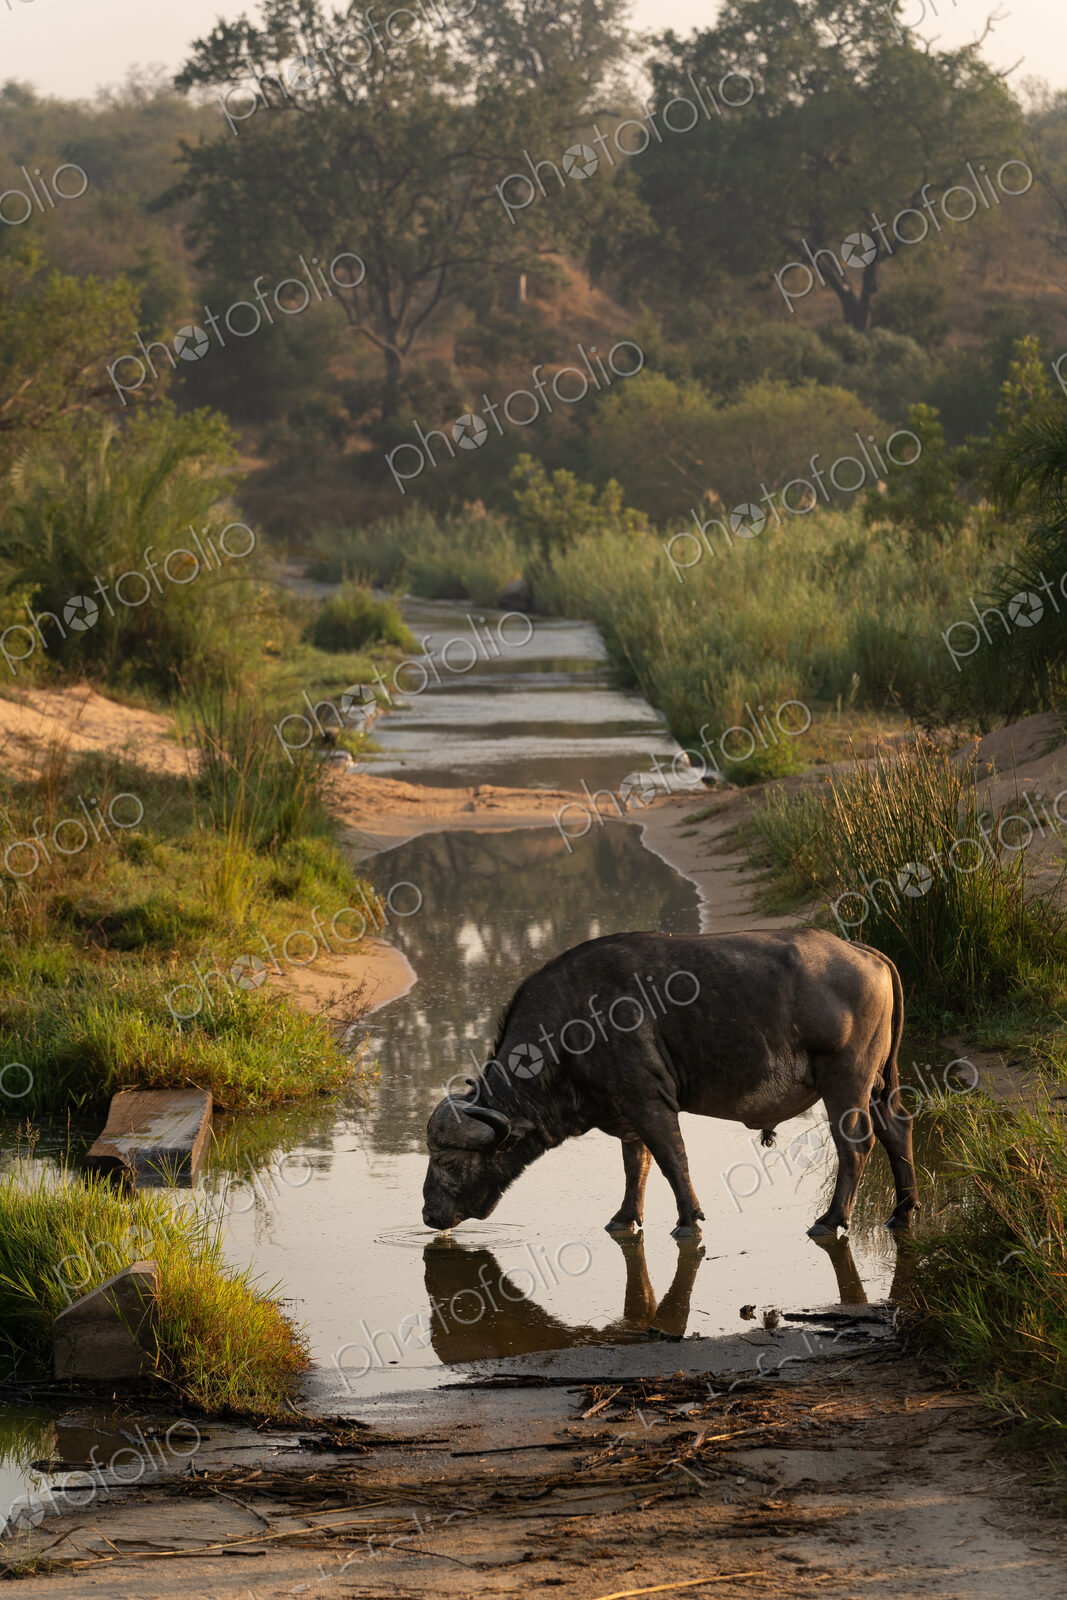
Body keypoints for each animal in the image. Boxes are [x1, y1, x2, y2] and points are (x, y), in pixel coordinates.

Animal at [422, 928, 917, 1240]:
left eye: (448, 1161)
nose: (428, 1214)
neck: (575, 1025)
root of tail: (866, 953)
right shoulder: (627, 1111)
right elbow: (635, 1166)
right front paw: (624, 1219)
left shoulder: (649, 1101)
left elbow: (671, 1159)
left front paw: (688, 1220)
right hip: (875, 1084)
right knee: (897, 1128)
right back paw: (902, 1212)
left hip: (844, 1081)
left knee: (855, 1145)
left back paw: (831, 1220)